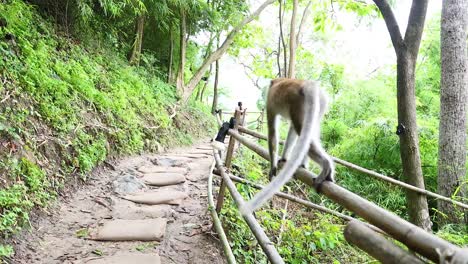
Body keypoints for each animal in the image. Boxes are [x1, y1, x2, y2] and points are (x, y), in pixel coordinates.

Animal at [239, 77, 334, 216]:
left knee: (300, 129)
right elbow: (292, 130)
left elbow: (273, 133)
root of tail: (308, 85)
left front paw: (273, 166)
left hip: (298, 103)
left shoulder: (270, 102)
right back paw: (305, 164)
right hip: (320, 104)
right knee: (305, 131)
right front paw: (284, 158)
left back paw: (326, 165)